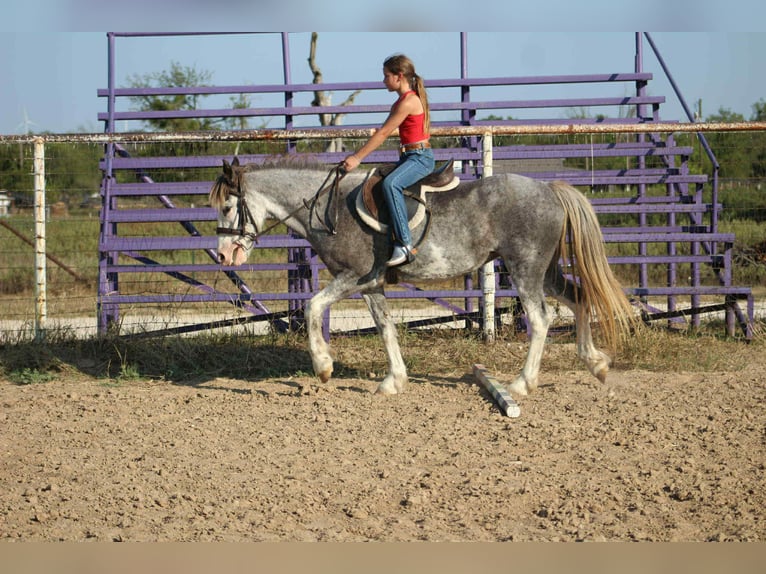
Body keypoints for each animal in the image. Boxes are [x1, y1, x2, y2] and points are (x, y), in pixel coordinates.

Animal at [209, 156, 637, 396]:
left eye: (229, 207)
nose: (224, 254)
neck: (329, 208)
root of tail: (549, 188)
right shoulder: (372, 284)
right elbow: (386, 329)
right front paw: (393, 381)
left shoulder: (353, 276)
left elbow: (313, 307)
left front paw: (323, 366)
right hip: (546, 272)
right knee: (579, 300)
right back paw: (596, 363)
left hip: (525, 269)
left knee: (541, 319)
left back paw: (521, 384)